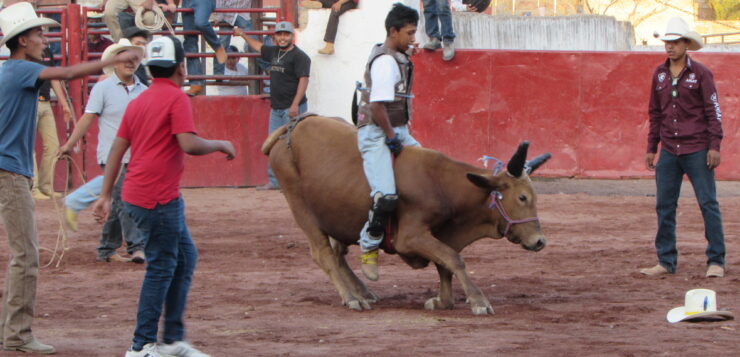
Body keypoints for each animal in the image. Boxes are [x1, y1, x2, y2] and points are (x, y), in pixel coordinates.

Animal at [264, 116, 548, 314]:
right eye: (522, 197)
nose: (539, 241)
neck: (440, 183)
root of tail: (291, 128)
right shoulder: (411, 237)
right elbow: (453, 259)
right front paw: (478, 300)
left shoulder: (442, 234)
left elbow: (444, 263)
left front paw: (442, 300)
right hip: (301, 208)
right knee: (323, 254)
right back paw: (352, 297)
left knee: (337, 253)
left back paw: (362, 290)